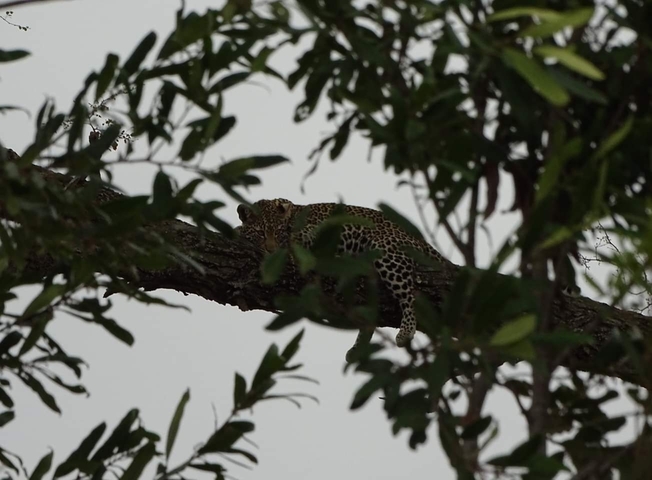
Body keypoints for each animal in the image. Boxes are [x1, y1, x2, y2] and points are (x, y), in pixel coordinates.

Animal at [236, 198, 453, 361]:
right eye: (260, 232)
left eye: (279, 232)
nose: (271, 250)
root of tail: (422, 241)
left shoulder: (315, 233)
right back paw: (357, 350)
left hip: (386, 249)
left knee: (409, 295)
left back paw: (405, 331)